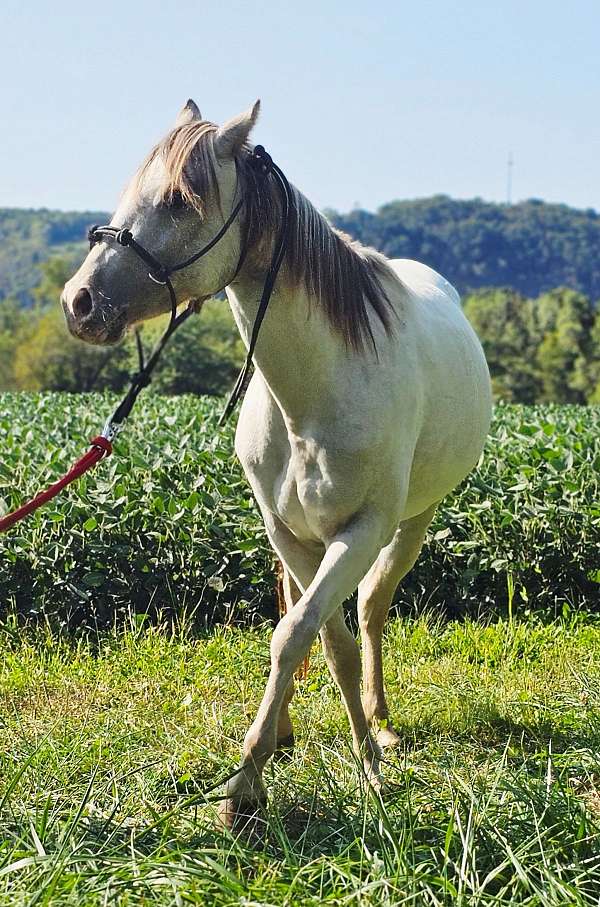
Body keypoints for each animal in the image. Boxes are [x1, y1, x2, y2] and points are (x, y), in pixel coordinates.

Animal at [62, 99, 492, 828]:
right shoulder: (287, 530)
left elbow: (309, 633)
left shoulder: (362, 530)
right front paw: (272, 761)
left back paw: (381, 723)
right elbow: (315, 635)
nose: (79, 301)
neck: (320, 388)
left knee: (372, 606)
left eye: (178, 199)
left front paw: (307, 776)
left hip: (412, 521)